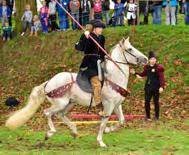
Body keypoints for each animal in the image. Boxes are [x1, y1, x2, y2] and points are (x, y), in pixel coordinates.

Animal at [5, 37, 148, 148]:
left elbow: (121, 120)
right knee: (48, 113)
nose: (145, 59)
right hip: (60, 103)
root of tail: (49, 82)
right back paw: (50, 133)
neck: (113, 77)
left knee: (60, 115)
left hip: (70, 104)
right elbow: (103, 122)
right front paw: (101, 142)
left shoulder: (117, 105)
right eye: (130, 49)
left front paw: (109, 130)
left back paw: (73, 131)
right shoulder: (109, 105)